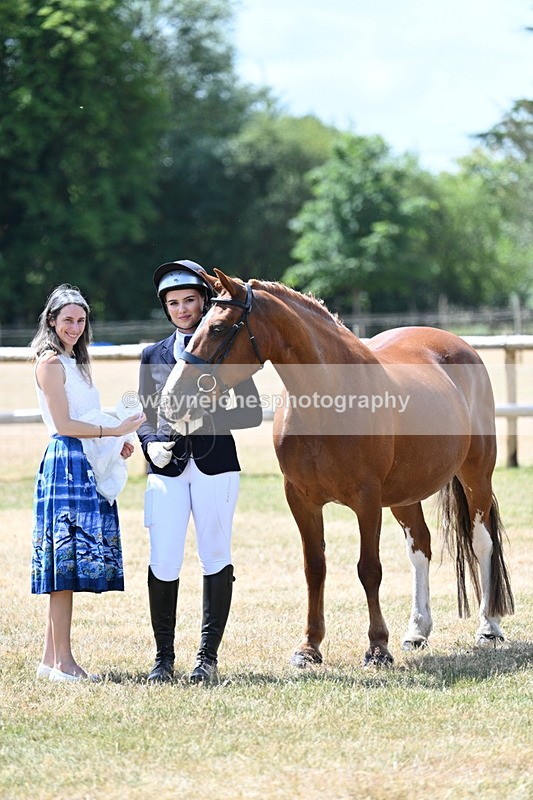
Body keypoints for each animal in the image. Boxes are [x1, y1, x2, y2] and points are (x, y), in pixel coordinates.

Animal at [161, 270, 514, 667]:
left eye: (219, 328)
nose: (172, 399)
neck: (327, 400)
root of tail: (458, 346)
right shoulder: (301, 499)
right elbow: (315, 567)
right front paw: (309, 647)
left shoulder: (367, 500)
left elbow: (369, 569)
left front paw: (377, 648)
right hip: (404, 495)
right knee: (420, 547)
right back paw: (417, 631)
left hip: (475, 475)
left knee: (482, 541)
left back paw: (488, 627)